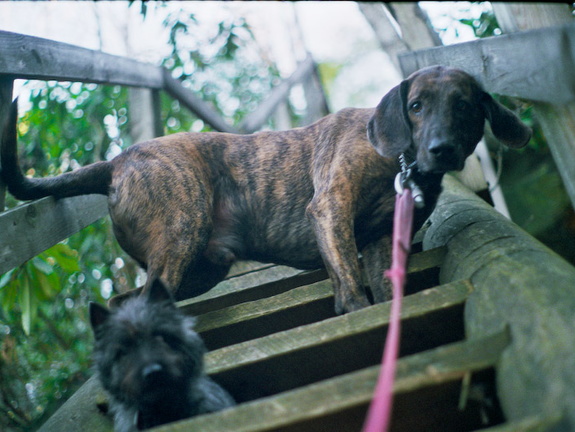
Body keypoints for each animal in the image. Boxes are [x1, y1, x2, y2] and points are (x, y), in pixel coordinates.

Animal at [0, 66, 532, 312]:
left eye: (465, 105)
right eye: (417, 105)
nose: (442, 149)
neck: (398, 162)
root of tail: (115, 162)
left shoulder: (382, 239)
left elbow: (378, 287)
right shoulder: (331, 208)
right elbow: (352, 284)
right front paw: (357, 314)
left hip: (201, 267)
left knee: (123, 303)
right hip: (181, 232)